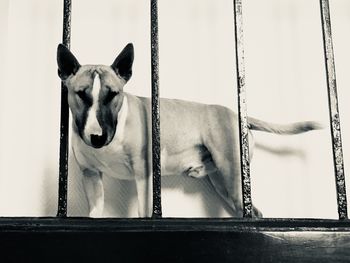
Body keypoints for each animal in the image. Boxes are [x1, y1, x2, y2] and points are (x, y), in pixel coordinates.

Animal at [56, 42, 322, 217]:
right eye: (81, 94)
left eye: (113, 94)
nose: (97, 138)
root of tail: (237, 115)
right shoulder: (91, 175)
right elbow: (95, 213)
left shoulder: (145, 176)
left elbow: (145, 213)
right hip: (223, 181)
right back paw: (198, 168)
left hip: (232, 173)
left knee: (253, 213)